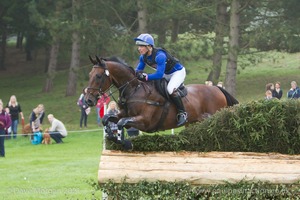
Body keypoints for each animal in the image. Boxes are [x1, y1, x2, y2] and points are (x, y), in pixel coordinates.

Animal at [85, 55, 239, 149]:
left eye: (98, 76)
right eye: (89, 75)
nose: (88, 100)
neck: (134, 89)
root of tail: (217, 88)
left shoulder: (145, 121)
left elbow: (122, 123)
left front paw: (126, 143)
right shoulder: (123, 114)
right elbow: (107, 119)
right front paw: (112, 137)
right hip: (194, 123)